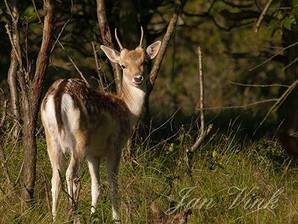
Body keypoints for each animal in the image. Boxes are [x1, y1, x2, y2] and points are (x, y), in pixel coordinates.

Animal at [40, 28, 162, 222]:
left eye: (144, 62)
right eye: (123, 66)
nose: (138, 78)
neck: (127, 109)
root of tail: (59, 92)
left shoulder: (93, 154)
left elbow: (96, 186)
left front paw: (93, 215)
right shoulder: (115, 145)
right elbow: (113, 184)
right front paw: (116, 218)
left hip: (50, 137)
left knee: (55, 177)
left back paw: (54, 218)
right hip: (79, 138)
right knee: (70, 174)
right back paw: (74, 215)